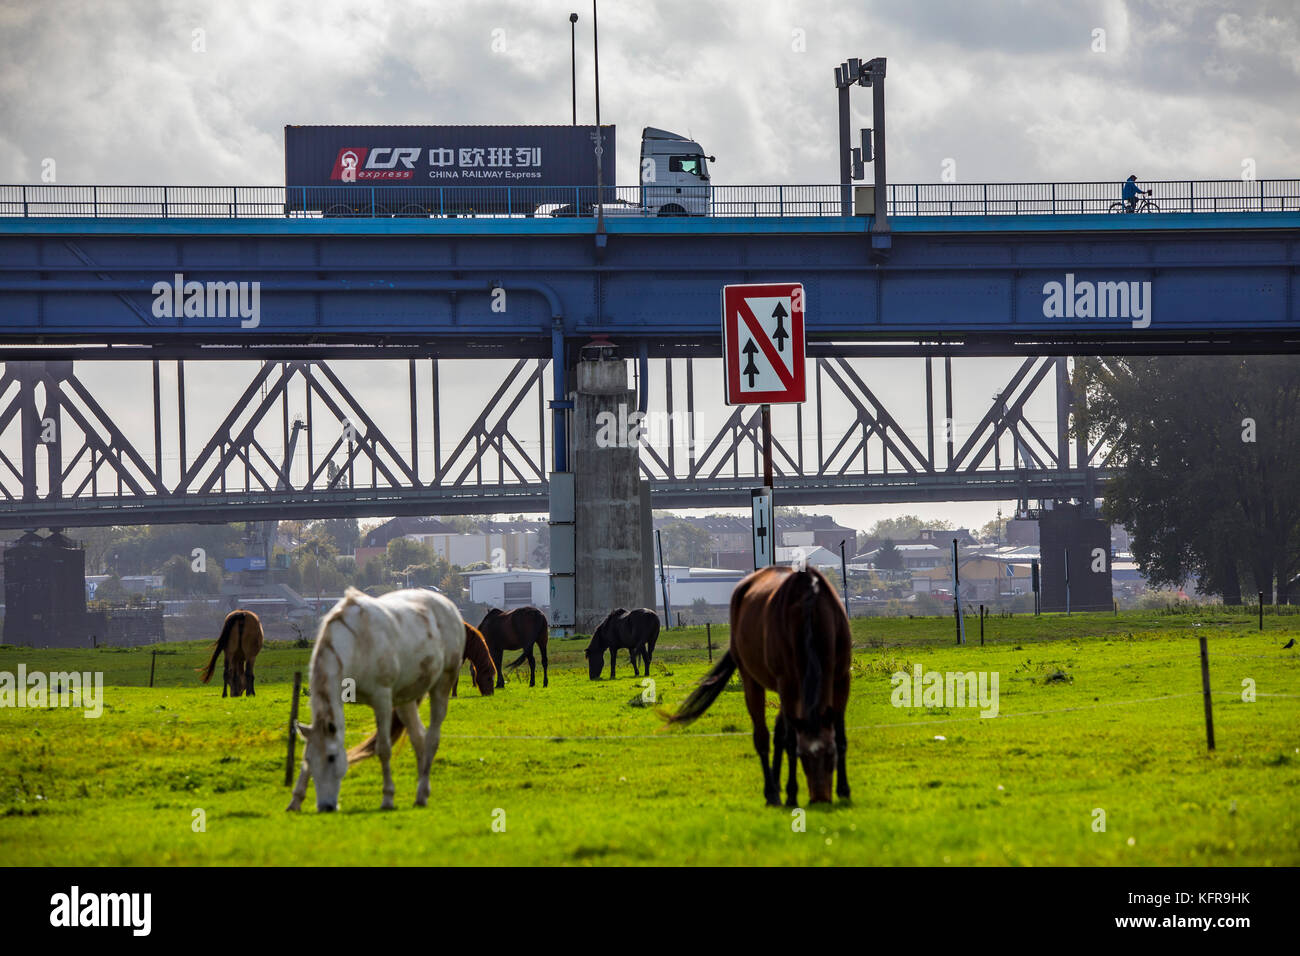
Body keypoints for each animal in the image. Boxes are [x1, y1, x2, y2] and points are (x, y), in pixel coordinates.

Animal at [289, 587, 496, 811]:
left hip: (441, 686)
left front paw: (387, 798)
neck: (356, 642)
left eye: (331, 758)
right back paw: (421, 793)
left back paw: (422, 789)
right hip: (405, 700)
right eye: (309, 760)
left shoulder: (382, 700)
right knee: (419, 738)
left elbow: (383, 749)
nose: (326, 806)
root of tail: (448, 605)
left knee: (432, 739)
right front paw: (296, 799)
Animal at [660, 567, 852, 806]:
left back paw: (777, 785)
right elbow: (789, 741)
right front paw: (791, 794)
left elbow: (839, 736)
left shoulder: (841, 679)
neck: (811, 611)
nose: (820, 798)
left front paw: (844, 790)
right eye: (803, 757)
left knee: (779, 732)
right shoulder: (787, 683)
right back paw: (772, 792)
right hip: (754, 681)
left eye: (830, 755)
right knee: (762, 736)